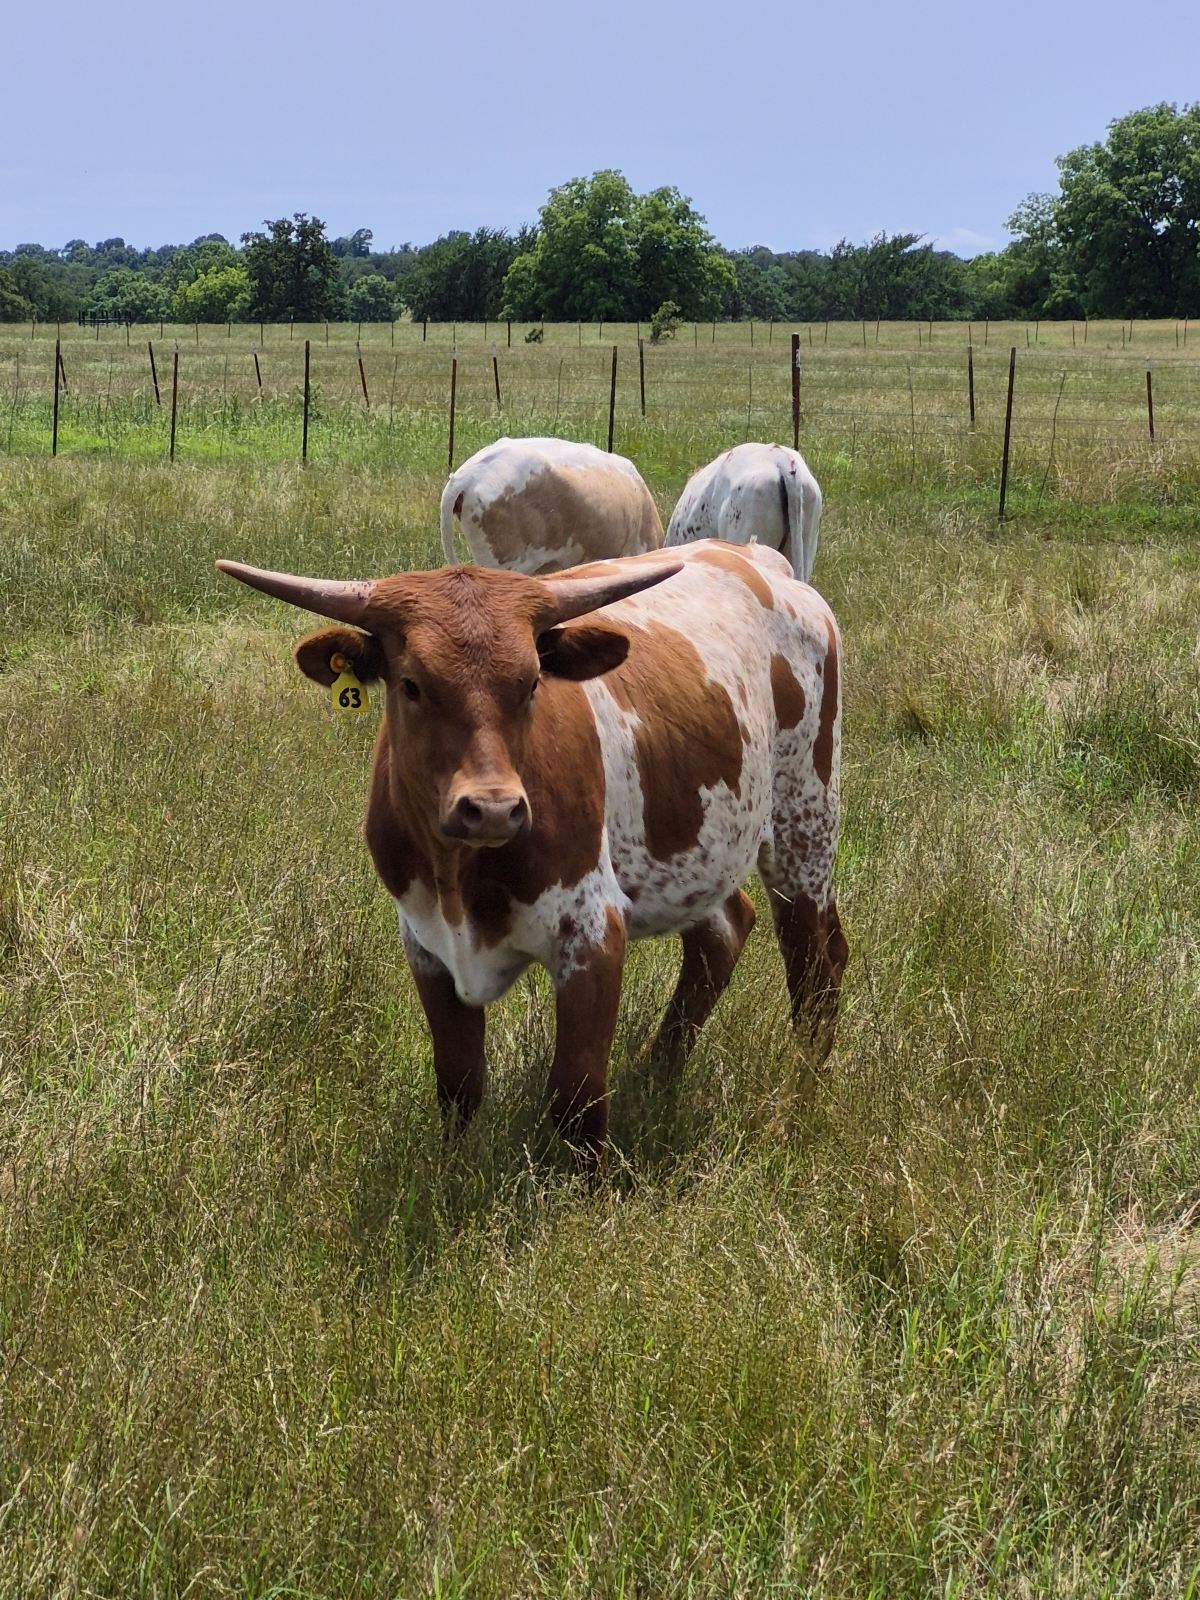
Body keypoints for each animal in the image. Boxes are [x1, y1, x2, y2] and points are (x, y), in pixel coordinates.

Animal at [216, 540, 847, 1173]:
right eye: (412, 685)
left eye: (532, 683)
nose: (493, 809)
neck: (458, 876)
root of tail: (759, 558)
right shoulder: (424, 942)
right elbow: (459, 1082)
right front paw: (455, 1175)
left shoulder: (592, 930)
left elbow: (577, 1094)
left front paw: (593, 1193)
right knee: (725, 932)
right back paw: (656, 1074)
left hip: (805, 822)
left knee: (814, 966)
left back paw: (796, 1100)